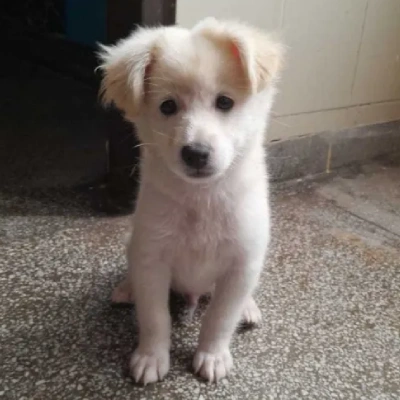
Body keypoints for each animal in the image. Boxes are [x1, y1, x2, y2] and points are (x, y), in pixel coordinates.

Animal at [98, 18, 282, 384]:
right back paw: (127, 289)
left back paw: (248, 307)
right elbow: (155, 318)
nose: (195, 153)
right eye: (168, 106)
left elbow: (220, 318)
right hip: (134, 244)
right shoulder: (152, 259)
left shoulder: (243, 261)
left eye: (224, 102)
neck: (202, 198)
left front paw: (212, 356)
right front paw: (151, 357)